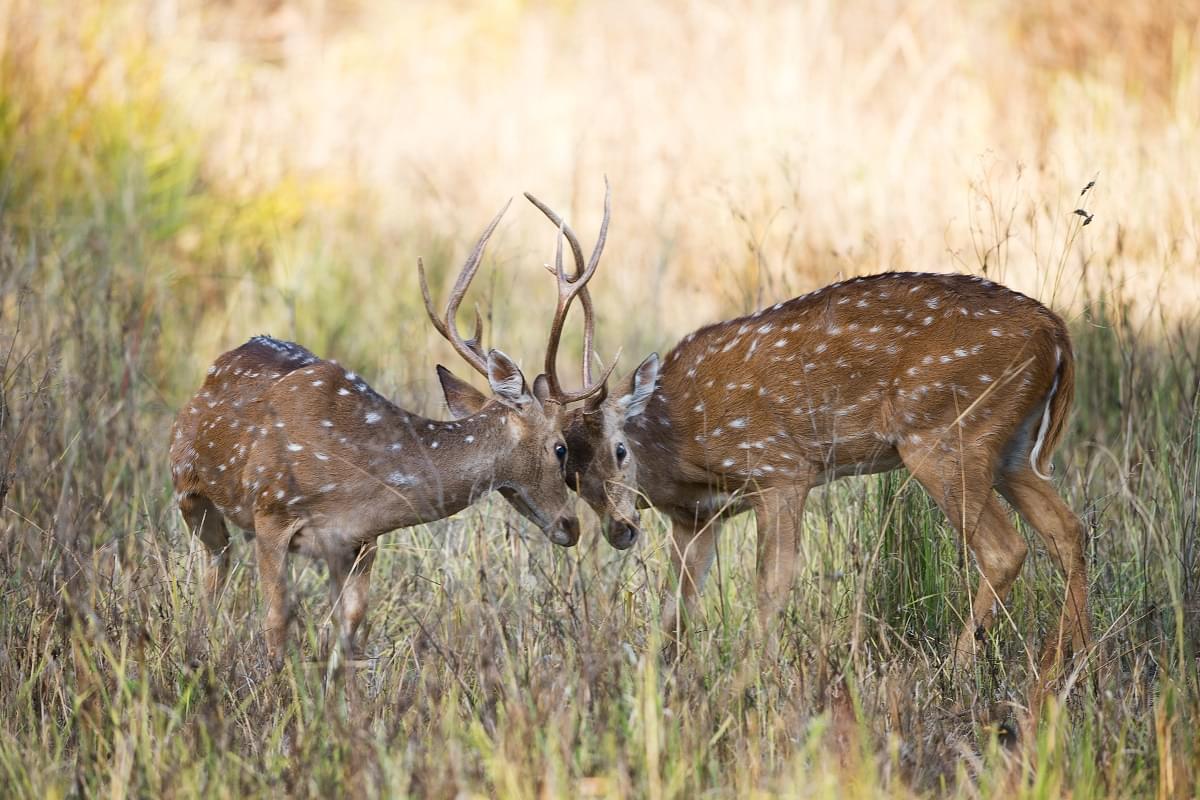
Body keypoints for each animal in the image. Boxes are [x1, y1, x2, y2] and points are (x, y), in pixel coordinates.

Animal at [169, 205, 609, 662]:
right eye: (560, 448)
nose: (572, 526)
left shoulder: (361, 541)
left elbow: (350, 630)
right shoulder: (271, 513)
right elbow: (276, 623)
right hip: (187, 485)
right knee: (214, 566)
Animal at [446, 188, 1094, 671]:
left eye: (621, 449)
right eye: (569, 468)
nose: (622, 530)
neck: (684, 450)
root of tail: (1058, 334)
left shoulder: (781, 470)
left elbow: (770, 584)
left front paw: (753, 679)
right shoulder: (697, 518)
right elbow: (676, 608)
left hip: (943, 433)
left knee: (1005, 548)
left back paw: (961, 669)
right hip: (1010, 446)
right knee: (1068, 529)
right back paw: (1071, 663)